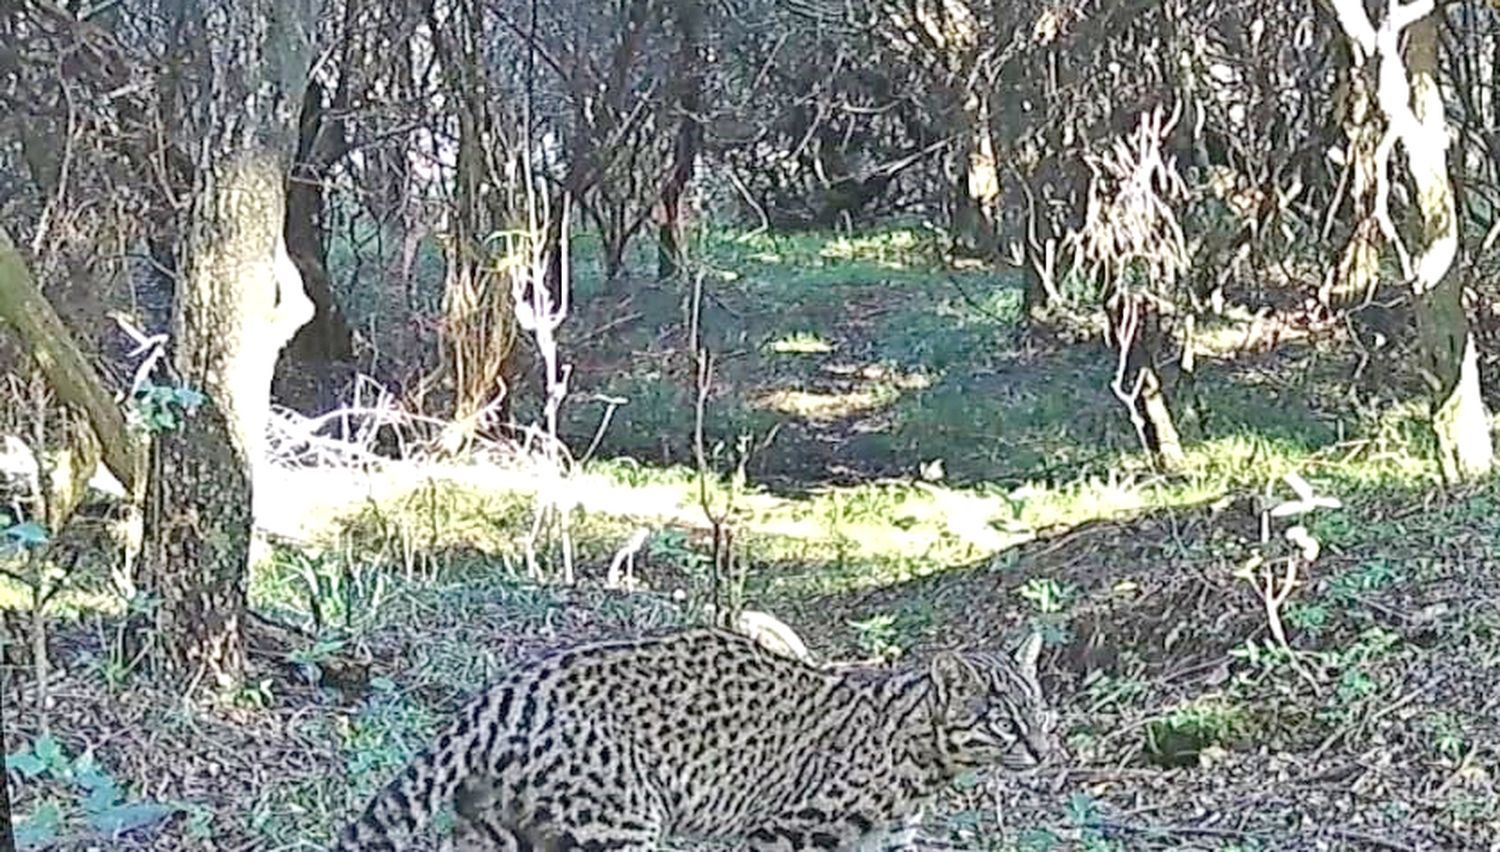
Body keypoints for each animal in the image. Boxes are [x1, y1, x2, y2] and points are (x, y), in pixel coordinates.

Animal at [331, 627, 1056, 852]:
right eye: (1002, 719)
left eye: (1040, 712)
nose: (1043, 752)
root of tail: (503, 691)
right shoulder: (783, 831)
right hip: (620, 824)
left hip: (498, 831)